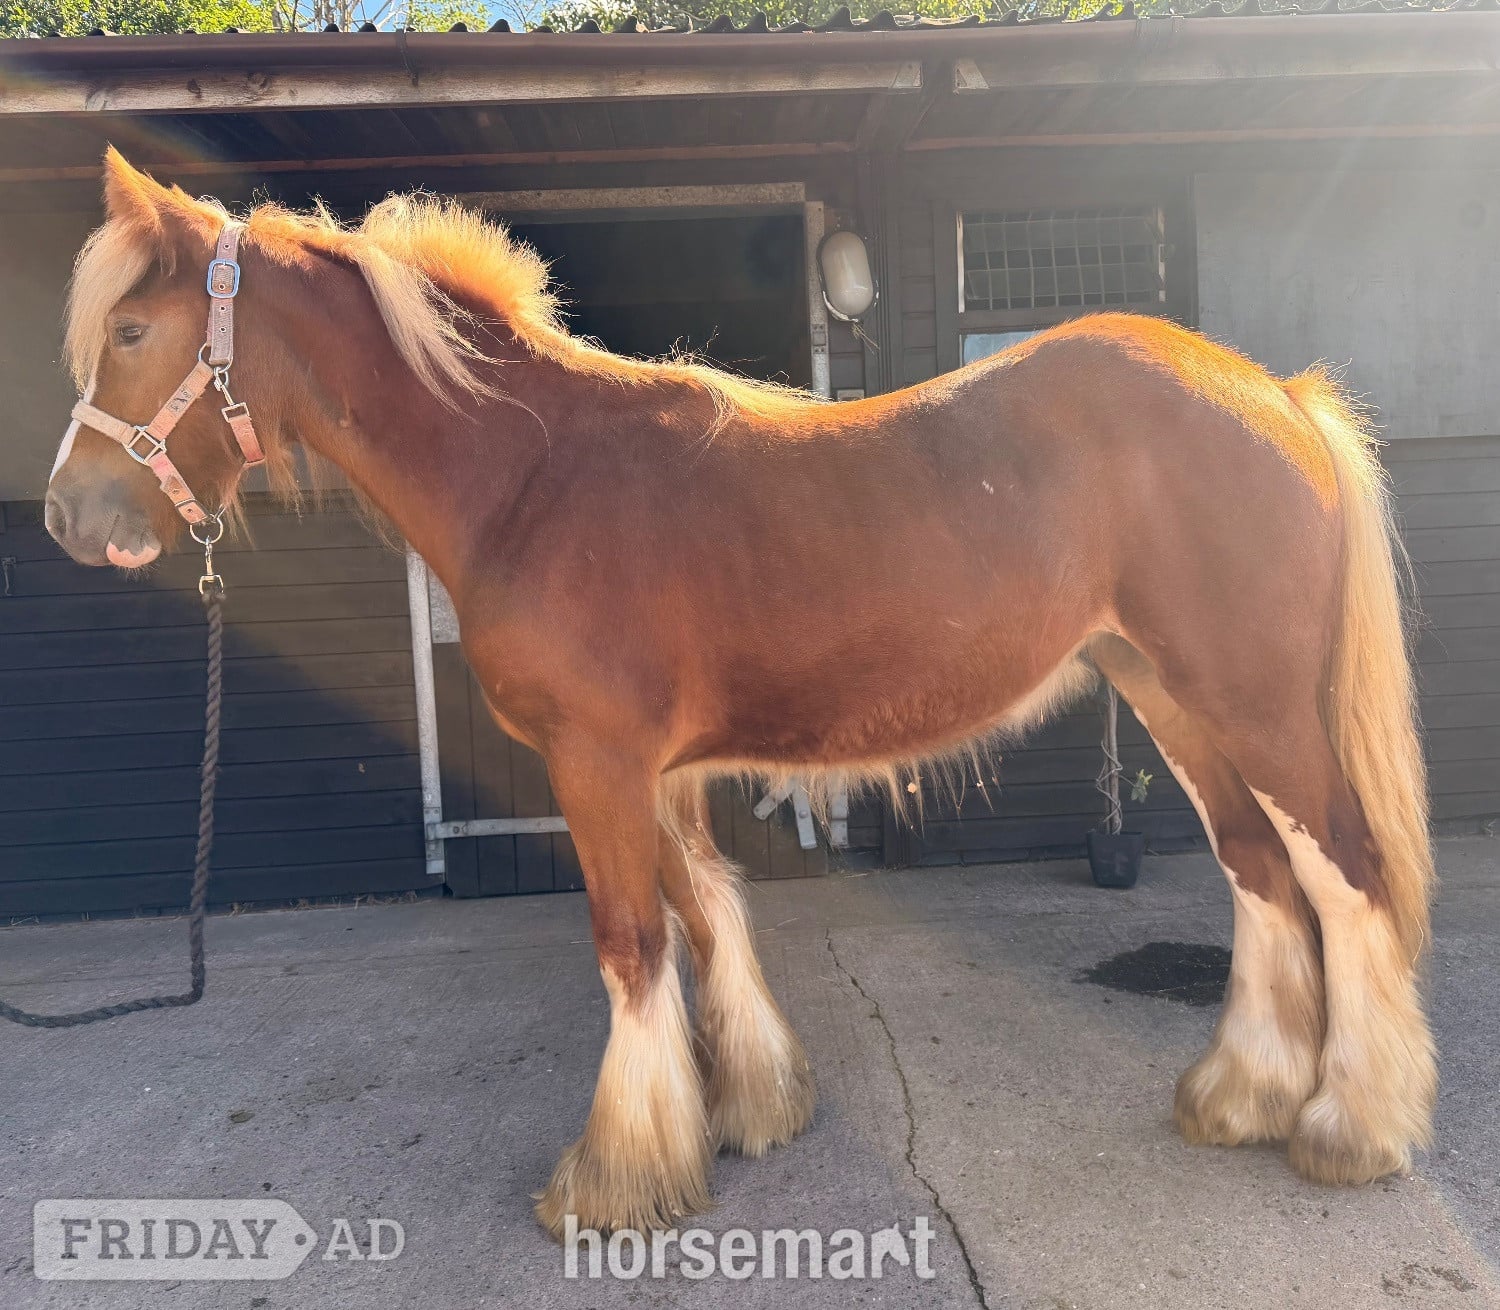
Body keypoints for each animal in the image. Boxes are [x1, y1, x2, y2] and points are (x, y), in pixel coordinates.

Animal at [44, 149, 1437, 1238]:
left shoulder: (597, 763)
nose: (69, 516)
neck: (533, 474)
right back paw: (1242, 1095)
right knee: (1260, 870)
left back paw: (1351, 1127)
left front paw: (616, 1176)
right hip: (1171, 699)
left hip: (1252, 703)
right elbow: (707, 915)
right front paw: (750, 1109)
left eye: (131, 333)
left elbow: (631, 943)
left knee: (1345, 870)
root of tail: (1276, 394)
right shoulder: (654, 773)